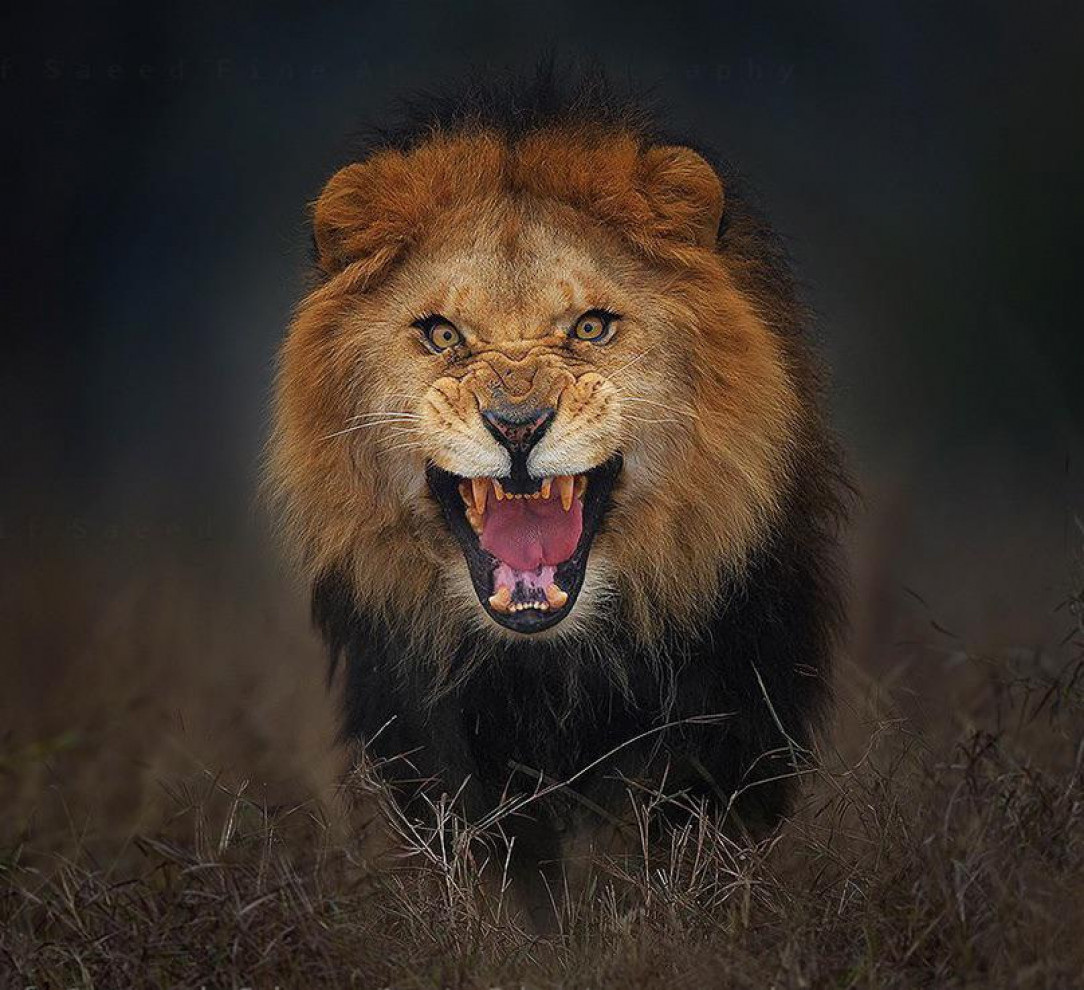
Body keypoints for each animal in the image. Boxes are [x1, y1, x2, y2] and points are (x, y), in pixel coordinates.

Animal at [268, 69, 845, 902]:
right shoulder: (429, 741)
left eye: (591, 328)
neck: (550, 668)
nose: (516, 425)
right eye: (443, 334)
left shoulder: (730, 721)